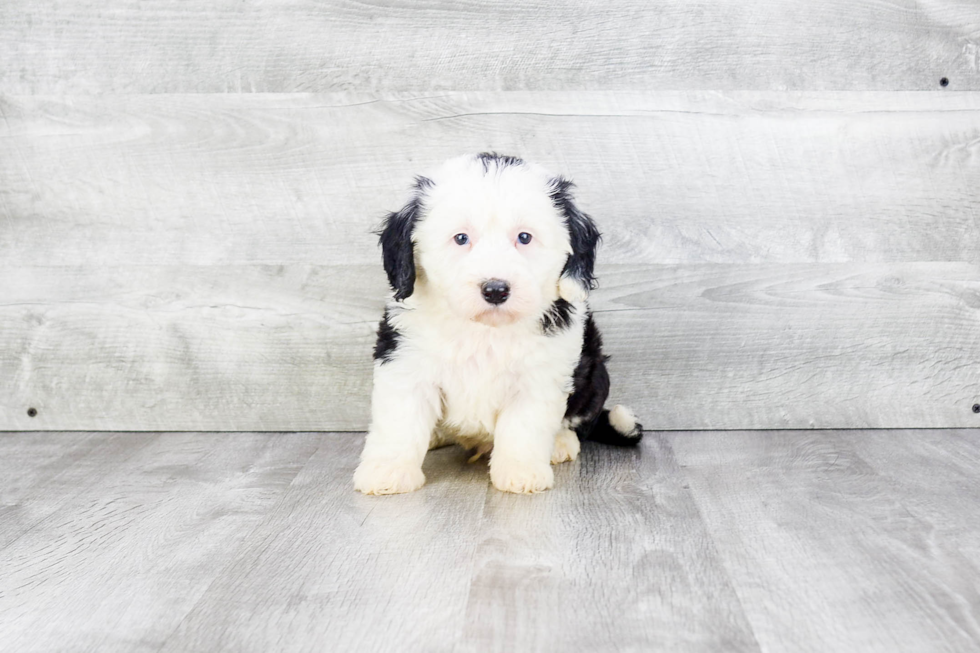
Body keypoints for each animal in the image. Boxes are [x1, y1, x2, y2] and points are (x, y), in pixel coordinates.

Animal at [352, 154, 644, 494]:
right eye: (461, 238)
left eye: (524, 237)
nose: (495, 289)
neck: (484, 331)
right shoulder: (405, 361)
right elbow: (400, 421)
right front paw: (388, 471)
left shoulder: (539, 376)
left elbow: (524, 426)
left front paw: (521, 472)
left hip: (595, 376)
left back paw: (560, 443)